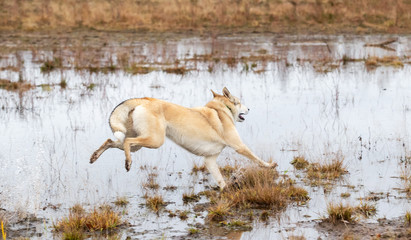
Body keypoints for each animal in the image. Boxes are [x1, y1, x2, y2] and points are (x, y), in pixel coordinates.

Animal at [90, 86, 276, 189]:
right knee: (127, 143)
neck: (221, 110)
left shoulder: (210, 160)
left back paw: (95, 156)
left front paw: (226, 190)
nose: (249, 109)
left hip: (140, 141)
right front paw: (270, 165)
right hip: (154, 140)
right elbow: (257, 159)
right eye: (239, 102)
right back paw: (127, 163)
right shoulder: (239, 146)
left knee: (112, 142)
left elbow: (220, 180)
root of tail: (145, 100)